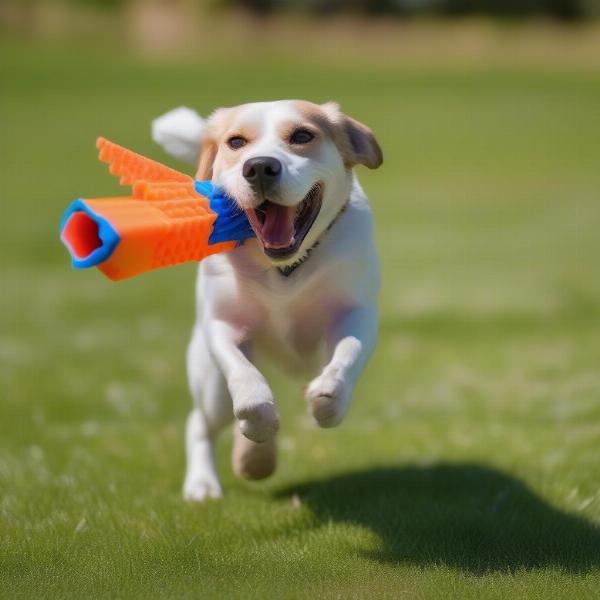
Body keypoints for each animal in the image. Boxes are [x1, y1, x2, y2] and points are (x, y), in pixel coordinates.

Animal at [152, 99, 382, 502]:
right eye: (236, 142)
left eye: (302, 135)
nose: (259, 166)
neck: (283, 270)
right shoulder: (222, 324)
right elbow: (246, 382)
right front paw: (258, 423)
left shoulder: (355, 313)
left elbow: (346, 357)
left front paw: (329, 399)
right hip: (211, 385)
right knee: (200, 421)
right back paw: (206, 481)